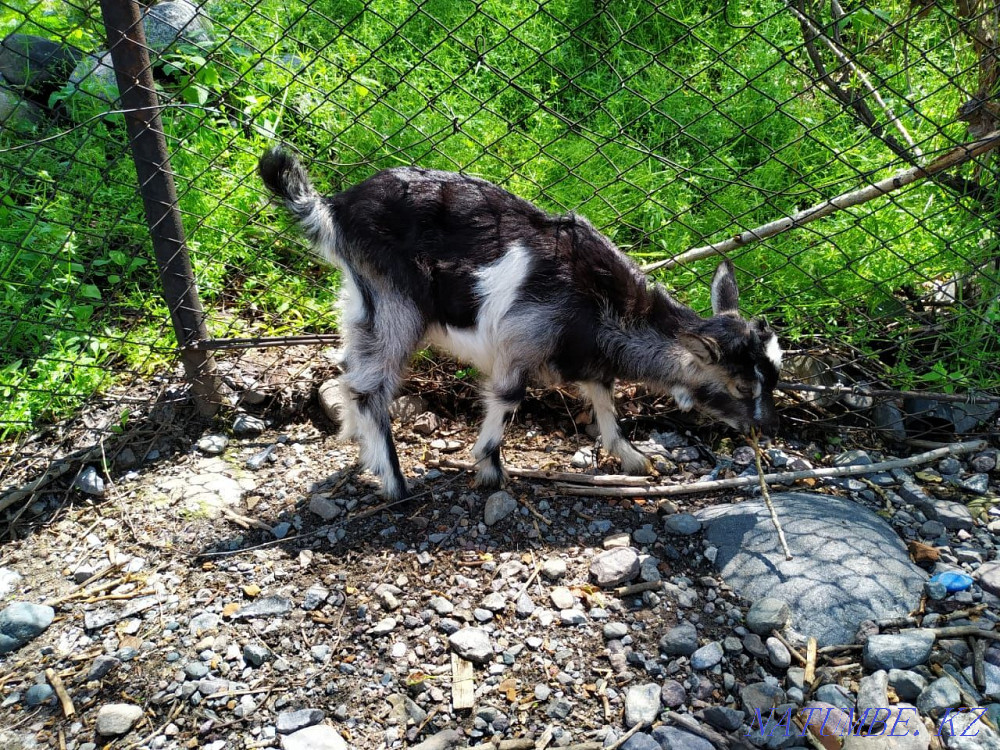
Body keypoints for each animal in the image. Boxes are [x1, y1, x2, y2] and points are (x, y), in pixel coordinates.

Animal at [259, 147, 783, 500]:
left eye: (774, 377)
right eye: (741, 387)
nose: (768, 427)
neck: (601, 305)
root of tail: (335, 209)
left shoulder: (586, 357)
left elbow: (605, 401)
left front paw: (636, 459)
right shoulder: (522, 340)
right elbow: (509, 397)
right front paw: (491, 470)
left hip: (359, 299)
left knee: (350, 370)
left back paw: (356, 443)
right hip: (395, 306)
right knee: (372, 387)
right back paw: (393, 480)